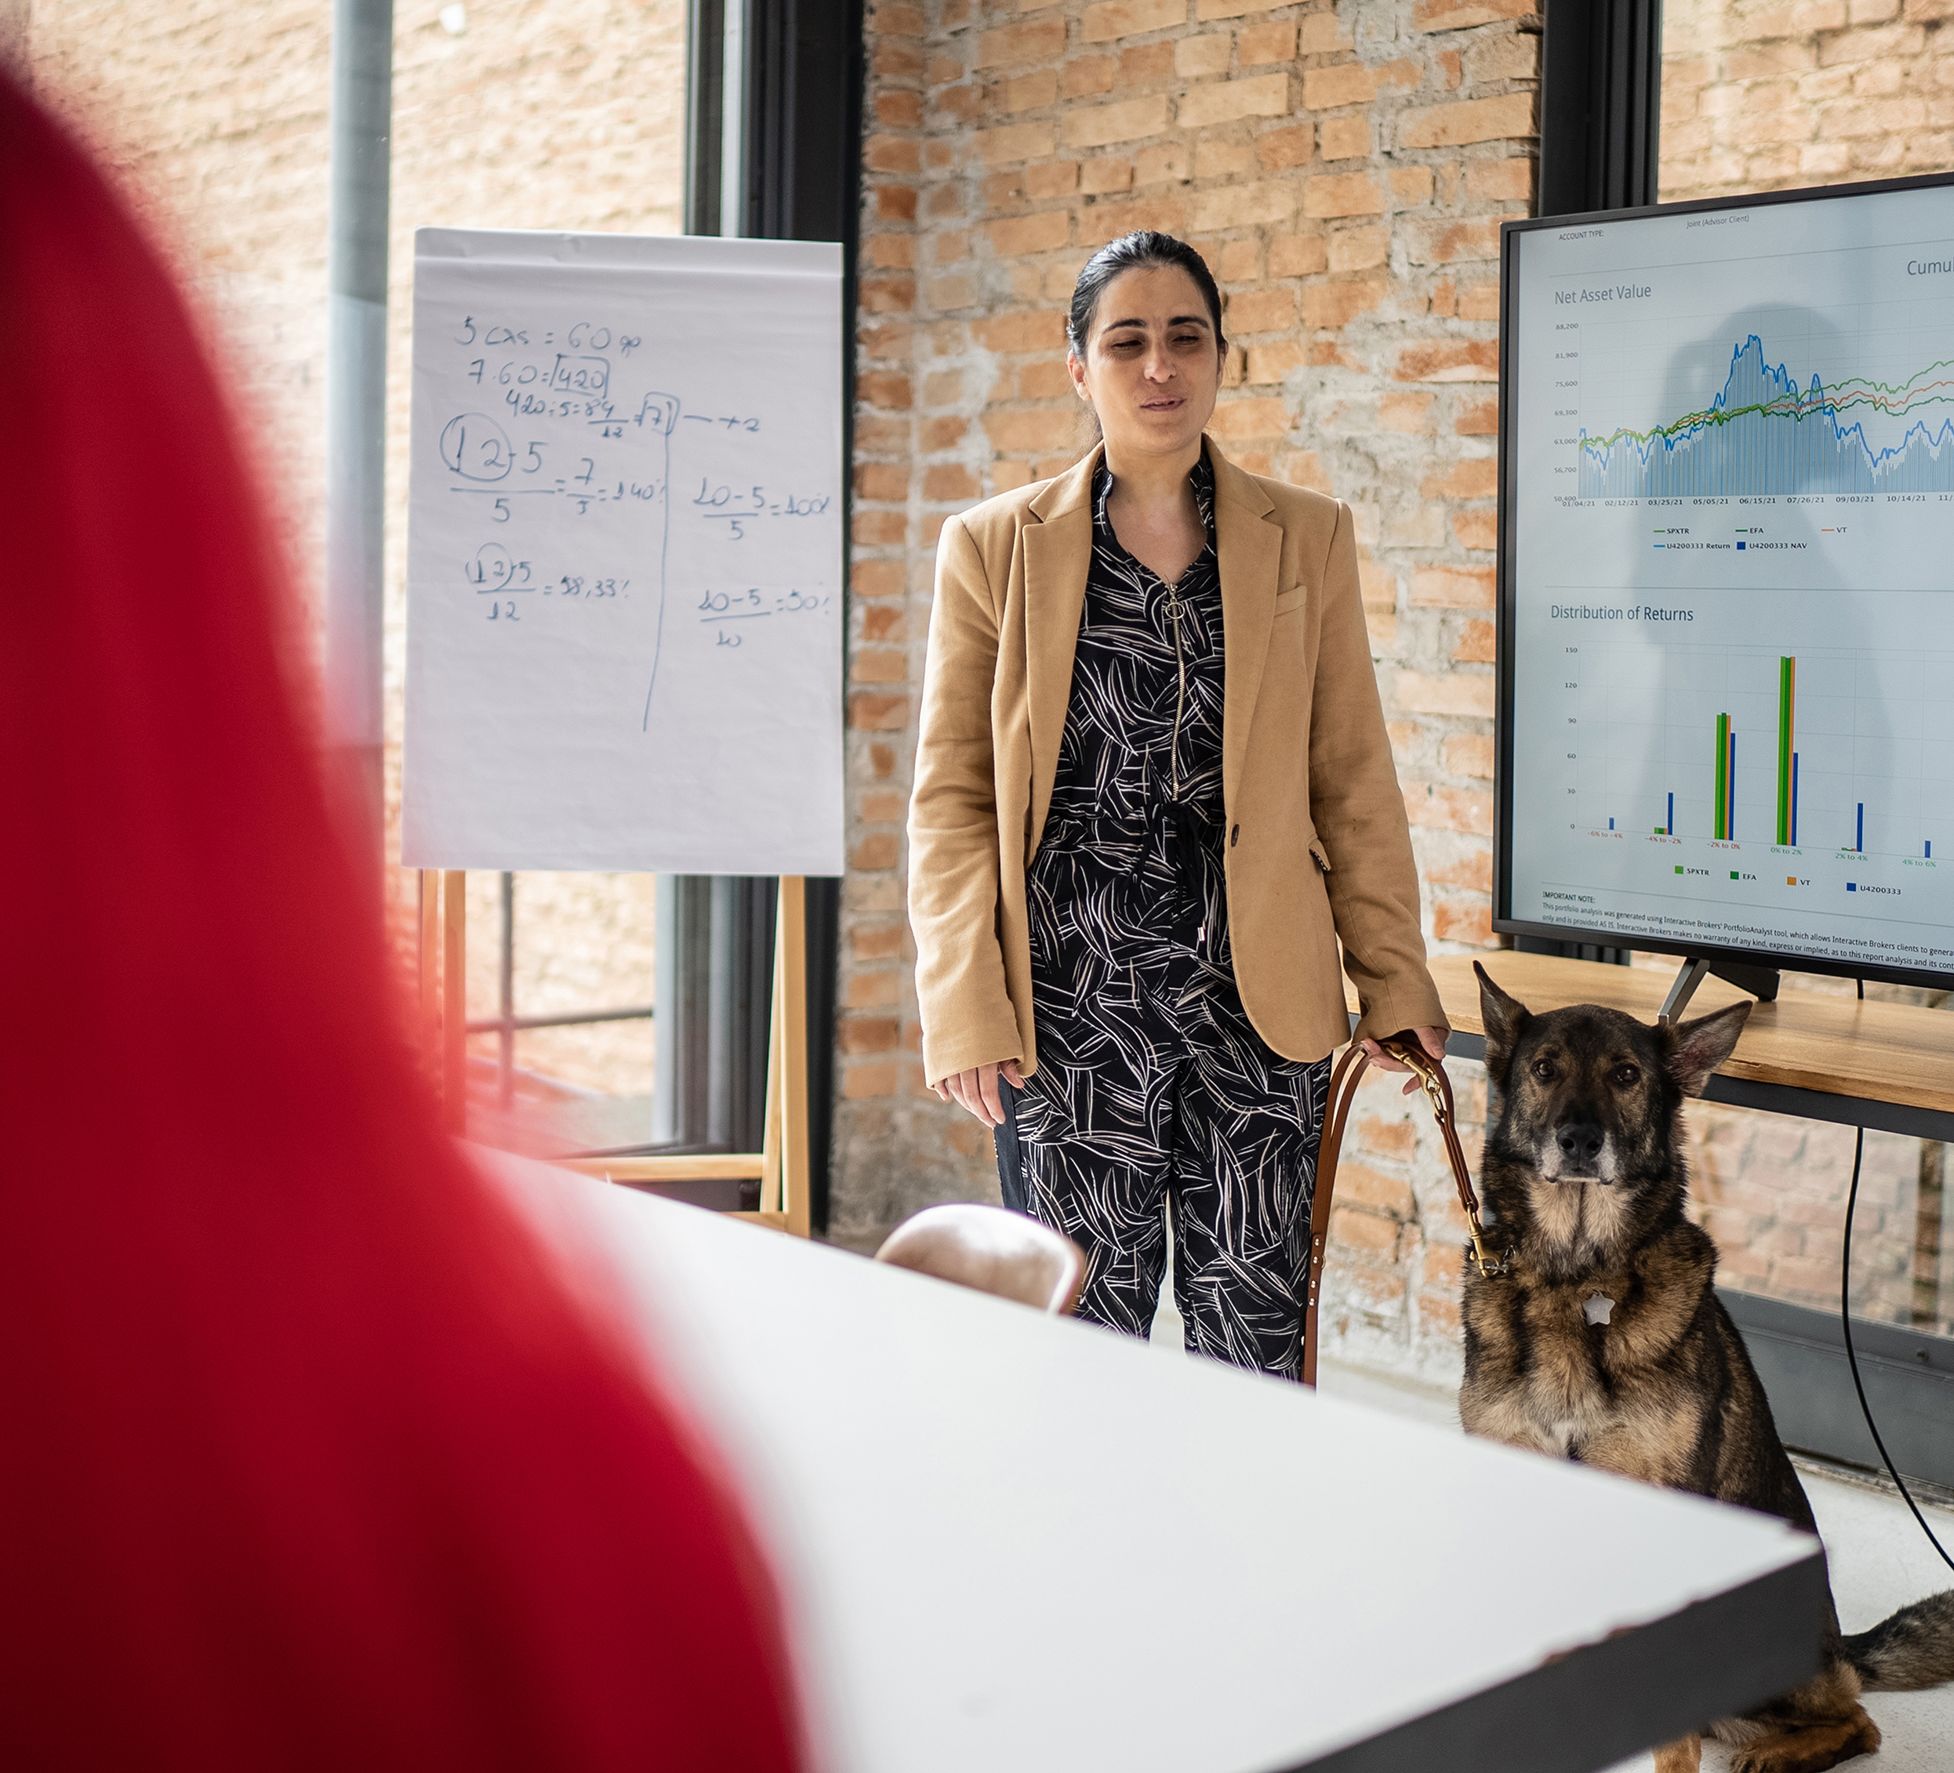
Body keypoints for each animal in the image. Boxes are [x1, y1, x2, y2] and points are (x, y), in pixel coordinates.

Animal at [1461, 965, 1954, 1773]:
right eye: (1545, 1068)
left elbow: (1676, 1738)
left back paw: (1778, 1752)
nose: (1579, 1139)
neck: (1577, 1274)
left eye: (1626, 1075)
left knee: (1856, 1719)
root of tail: (1839, 1647)